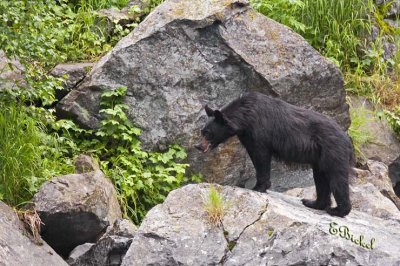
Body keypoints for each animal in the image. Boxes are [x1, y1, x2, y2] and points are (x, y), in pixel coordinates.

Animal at [195, 92, 354, 217]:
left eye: (207, 133)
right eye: (202, 132)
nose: (198, 146)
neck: (245, 116)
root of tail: (347, 139)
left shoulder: (259, 131)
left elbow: (260, 157)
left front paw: (258, 187)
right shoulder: (247, 135)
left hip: (334, 152)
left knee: (337, 178)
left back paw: (337, 210)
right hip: (319, 159)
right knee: (320, 178)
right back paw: (312, 202)